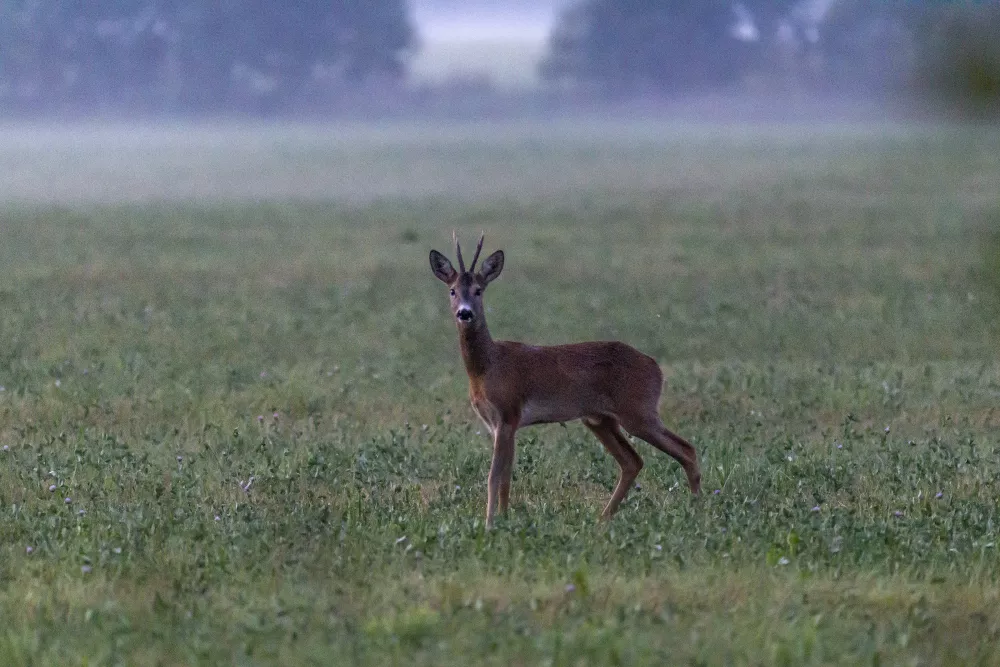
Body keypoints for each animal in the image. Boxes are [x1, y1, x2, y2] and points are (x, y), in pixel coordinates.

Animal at [429, 233, 702, 529]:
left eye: (479, 290)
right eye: (452, 290)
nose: (465, 313)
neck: (488, 367)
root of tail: (656, 368)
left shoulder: (508, 414)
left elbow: (494, 476)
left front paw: (490, 524)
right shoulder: (498, 424)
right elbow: (505, 477)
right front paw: (504, 519)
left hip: (639, 412)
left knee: (686, 449)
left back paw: (698, 508)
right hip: (600, 419)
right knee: (633, 461)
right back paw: (603, 518)